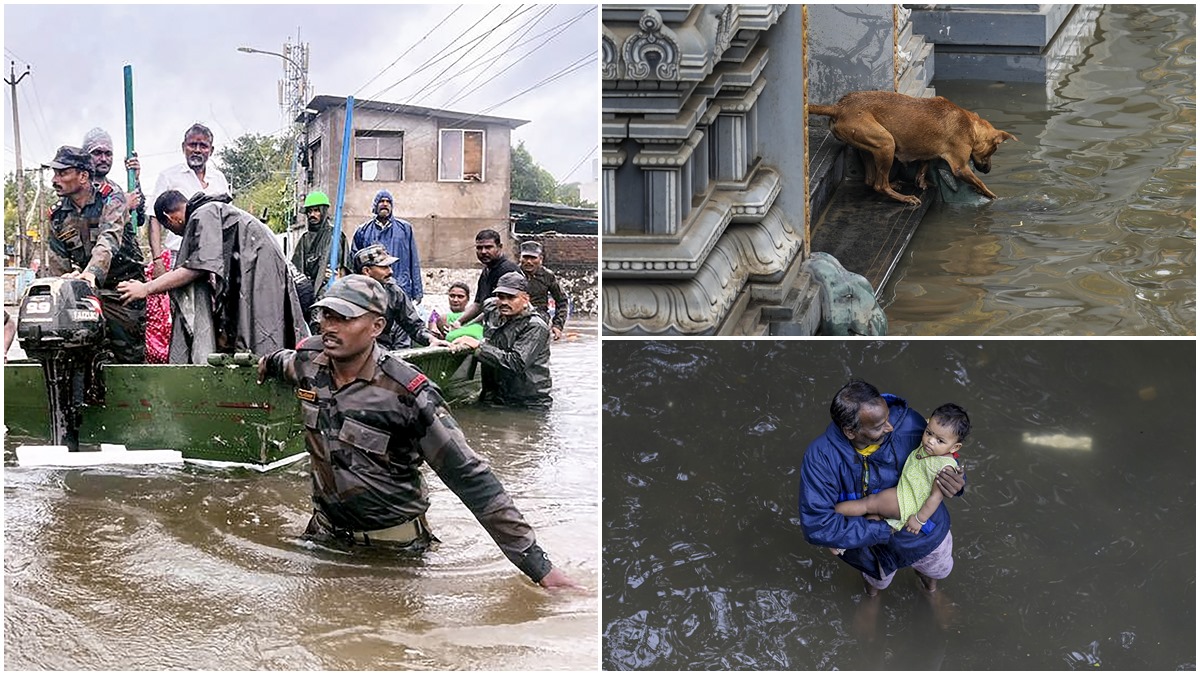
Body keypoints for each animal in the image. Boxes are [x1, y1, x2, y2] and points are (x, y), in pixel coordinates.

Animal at [811, 90, 1017, 205]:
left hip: (869, 146)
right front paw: (991, 195)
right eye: (993, 151)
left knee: (870, 180)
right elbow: (979, 182)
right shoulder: (960, 167)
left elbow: (923, 167)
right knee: (879, 185)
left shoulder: (929, 154)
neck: (970, 125)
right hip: (887, 143)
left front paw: (922, 181)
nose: (988, 170)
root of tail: (838, 107)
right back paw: (905, 198)